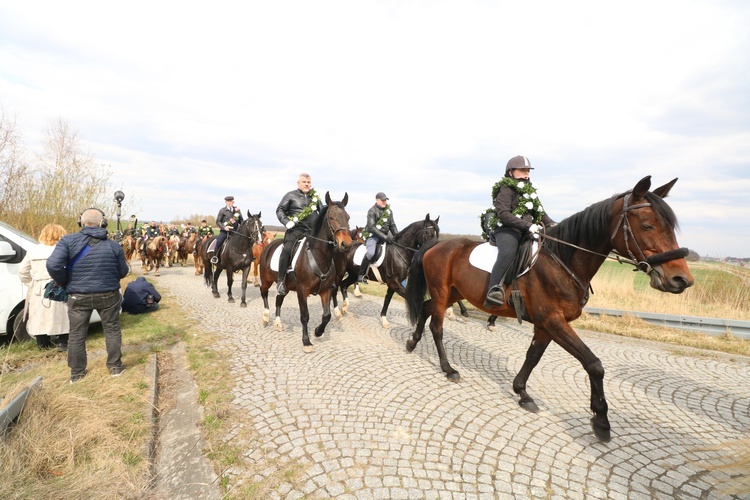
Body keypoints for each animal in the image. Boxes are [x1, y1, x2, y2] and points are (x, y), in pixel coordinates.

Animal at [258, 191, 352, 352]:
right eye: (331, 217)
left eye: (348, 217)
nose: (346, 244)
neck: (318, 254)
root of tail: (269, 246)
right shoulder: (302, 290)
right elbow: (305, 316)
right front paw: (306, 341)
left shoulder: (325, 290)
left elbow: (327, 315)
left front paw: (318, 332)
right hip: (266, 280)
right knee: (263, 293)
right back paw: (265, 316)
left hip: (286, 286)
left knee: (278, 300)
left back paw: (278, 323)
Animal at [406, 177, 692, 442]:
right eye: (647, 225)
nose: (682, 280)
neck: (563, 262)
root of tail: (438, 244)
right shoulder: (554, 321)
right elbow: (594, 364)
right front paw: (601, 421)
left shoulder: (546, 325)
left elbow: (533, 357)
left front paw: (522, 393)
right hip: (443, 293)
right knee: (437, 326)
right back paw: (448, 369)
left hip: (454, 293)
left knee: (426, 308)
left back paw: (412, 342)